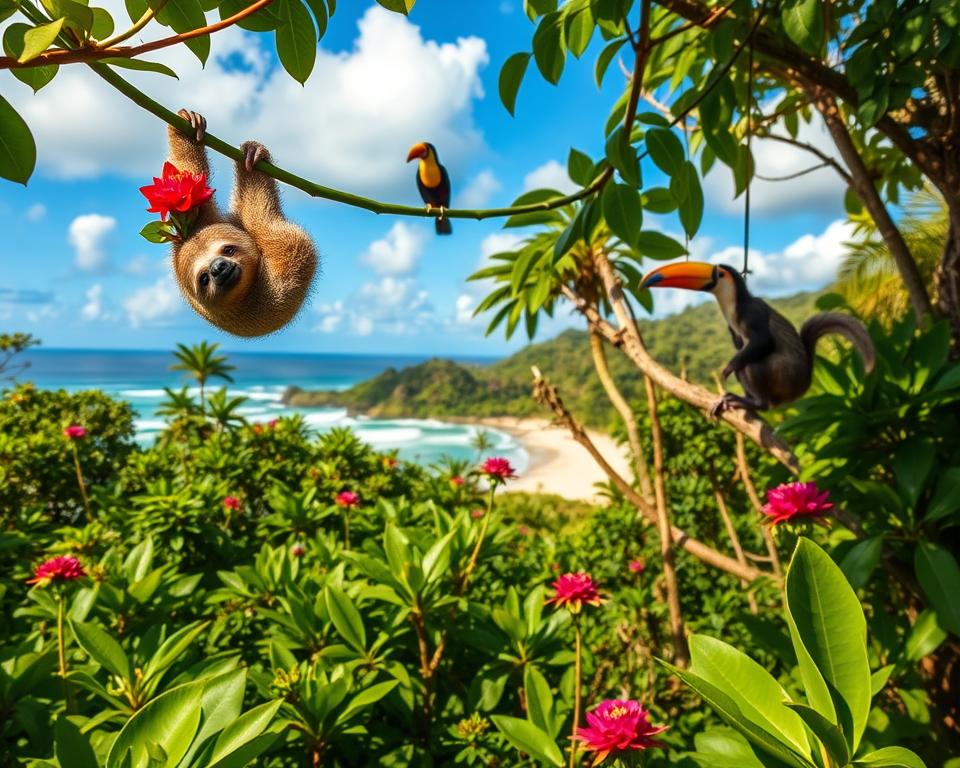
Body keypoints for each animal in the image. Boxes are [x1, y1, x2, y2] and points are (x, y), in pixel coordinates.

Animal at [165, 110, 317, 337]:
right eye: (204, 279)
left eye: (228, 250)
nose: (218, 268)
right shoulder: (283, 272)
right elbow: (266, 223)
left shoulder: (198, 224)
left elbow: (189, 176)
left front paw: (187, 128)